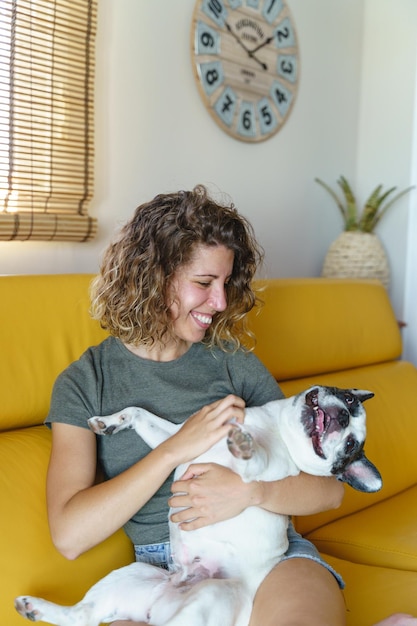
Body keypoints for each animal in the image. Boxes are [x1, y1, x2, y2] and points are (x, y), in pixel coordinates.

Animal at [15, 386, 380, 624]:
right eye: (348, 399)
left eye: (350, 445)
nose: (342, 415)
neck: (277, 429)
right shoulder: (175, 437)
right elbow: (140, 413)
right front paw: (110, 421)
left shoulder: (264, 470)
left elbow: (255, 461)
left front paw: (244, 445)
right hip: (132, 575)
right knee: (83, 616)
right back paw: (35, 607)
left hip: (211, 596)